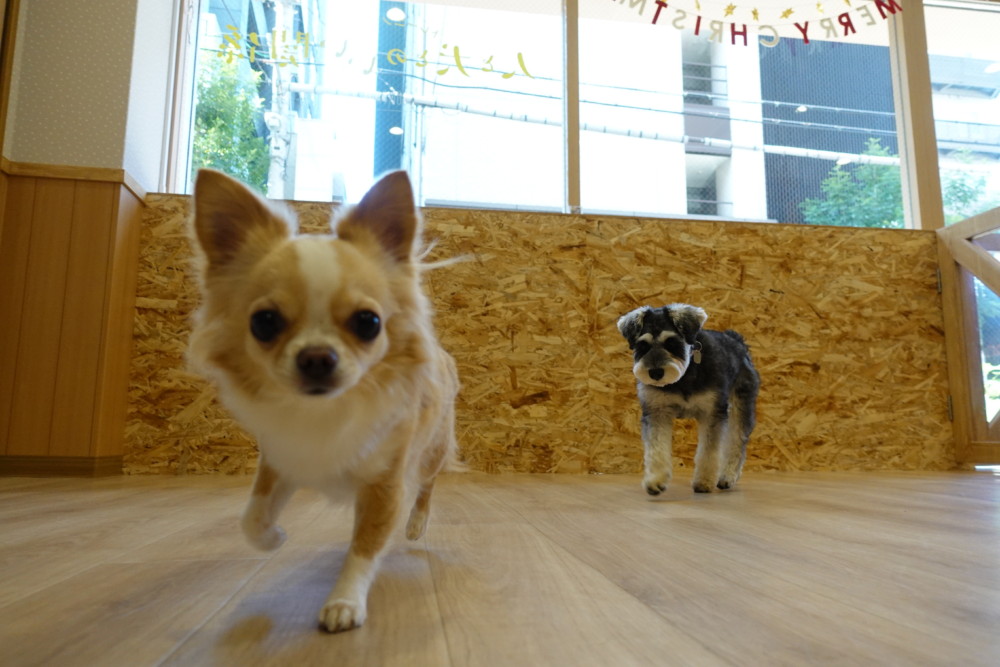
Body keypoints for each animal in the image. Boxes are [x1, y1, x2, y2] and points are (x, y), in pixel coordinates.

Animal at [189, 169, 458, 633]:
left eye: (368, 322)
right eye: (264, 322)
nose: (316, 357)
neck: (325, 410)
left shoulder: (386, 480)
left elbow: (366, 544)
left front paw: (345, 601)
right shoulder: (282, 459)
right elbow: (251, 517)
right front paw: (273, 537)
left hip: (432, 449)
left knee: (426, 485)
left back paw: (416, 524)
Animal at [617, 304, 759, 495]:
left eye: (672, 342)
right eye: (642, 345)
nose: (655, 373)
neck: (684, 376)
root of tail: (736, 339)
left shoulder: (712, 413)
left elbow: (709, 451)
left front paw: (704, 481)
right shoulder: (657, 412)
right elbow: (656, 448)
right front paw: (655, 480)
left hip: (740, 406)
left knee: (736, 443)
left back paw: (727, 477)